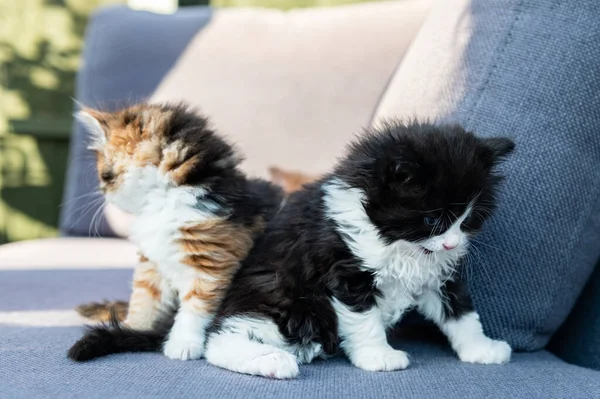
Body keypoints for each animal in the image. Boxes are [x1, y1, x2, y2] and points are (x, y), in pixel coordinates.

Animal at [67, 102, 282, 362]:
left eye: (106, 176)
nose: (103, 192)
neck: (162, 200)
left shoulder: (212, 263)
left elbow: (195, 306)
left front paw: (183, 343)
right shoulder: (152, 264)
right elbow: (143, 299)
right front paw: (130, 329)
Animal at [204, 122, 512, 378]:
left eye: (467, 221)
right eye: (432, 221)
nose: (452, 244)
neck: (397, 244)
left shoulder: (439, 276)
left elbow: (463, 314)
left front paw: (481, 348)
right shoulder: (345, 272)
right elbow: (366, 320)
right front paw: (379, 356)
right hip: (285, 300)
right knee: (219, 342)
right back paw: (270, 360)